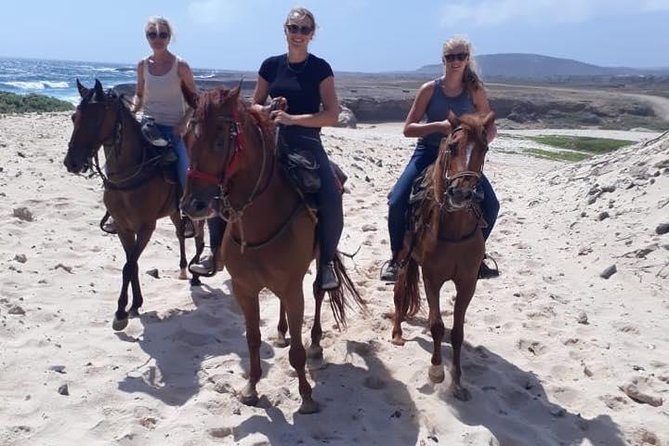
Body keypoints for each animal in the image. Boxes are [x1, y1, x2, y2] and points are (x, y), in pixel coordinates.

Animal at [65, 79, 206, 332]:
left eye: (96, 119)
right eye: (74, 117)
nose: (72, 162)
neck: (129, 175)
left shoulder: (146, 227)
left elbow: (129, 266)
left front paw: (121, 312)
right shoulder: (123, 227)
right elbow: (133, 263)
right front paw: (135, 304)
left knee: (198, 238)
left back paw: (196, 274)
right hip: (173, 212)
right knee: (180, 233)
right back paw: (182, 268)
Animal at [180, 84, 362, 414]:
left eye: (220, 140)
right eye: (187, 138)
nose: (193, 205)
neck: (258, 219)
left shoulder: (293, 288)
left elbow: (298, 352)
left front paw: (306, 397)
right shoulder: (244, 288)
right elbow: (252, 339)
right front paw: (251, 388)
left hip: (319, 261)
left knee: (319, 291)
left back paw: (316, 343)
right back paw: (280, 331)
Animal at [388, 110, 494, 400]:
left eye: (484, 148)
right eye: (452, 146)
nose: (462, 193)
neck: (455, 230)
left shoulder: (467, 282)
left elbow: (457, 332)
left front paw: (457, 381)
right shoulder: (431, 278)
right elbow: (437, 325)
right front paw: (436, 371)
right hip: (404, 258)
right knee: (399, 292)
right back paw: (397, 333)